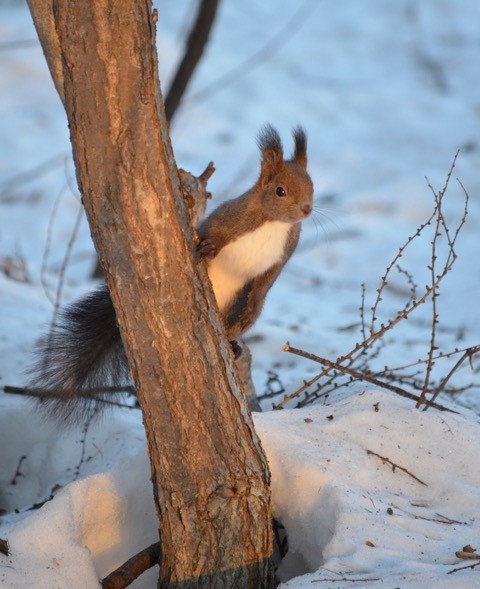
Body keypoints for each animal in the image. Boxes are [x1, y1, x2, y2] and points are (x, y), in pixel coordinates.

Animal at [31, 124, 316, 420]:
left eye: (311, 185)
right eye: (280, 191)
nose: (307, 209)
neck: (274, 223)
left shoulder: (283, 254)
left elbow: (264, 285)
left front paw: (252, 305)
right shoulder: (230, 219)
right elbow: (213, 232)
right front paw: (208, 248)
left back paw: (232, 342)